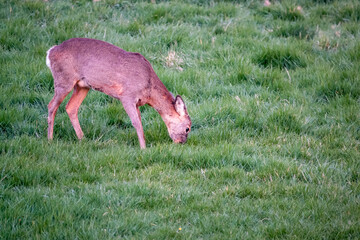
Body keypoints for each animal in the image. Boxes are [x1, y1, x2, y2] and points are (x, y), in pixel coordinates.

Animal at [46, 38, 191, 148]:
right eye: (188, 128)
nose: (181, 142)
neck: (149, 89)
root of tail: (50, 52)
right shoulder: (127, 96)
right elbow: (136, 123)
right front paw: (143, 148)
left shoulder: (137, 103)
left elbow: (139, 121)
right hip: (64, 80)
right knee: (52, 105)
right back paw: (50, 139)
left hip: (82, 86)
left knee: (71, 107)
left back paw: (83, 139)